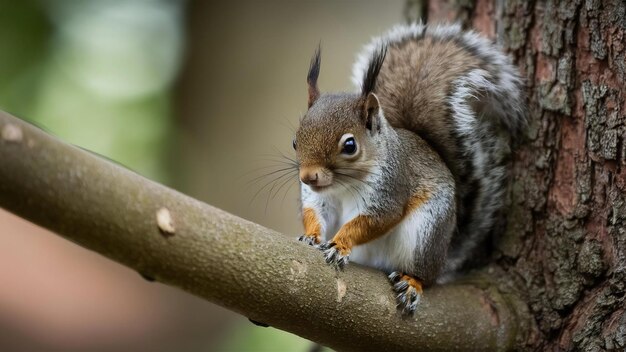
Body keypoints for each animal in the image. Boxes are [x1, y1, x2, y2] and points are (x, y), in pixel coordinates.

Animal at [292, 23, 520, 314]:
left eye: (350, 145)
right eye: (295, 141)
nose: (308, 177)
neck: (342, 185)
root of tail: (443, 257)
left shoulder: (391, 189)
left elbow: (375, 220)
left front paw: (340, 244)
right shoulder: (319, 198)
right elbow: (316, 213)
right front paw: (311, 236)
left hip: (425, 234)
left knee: (424, 275)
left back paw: (413, 283)